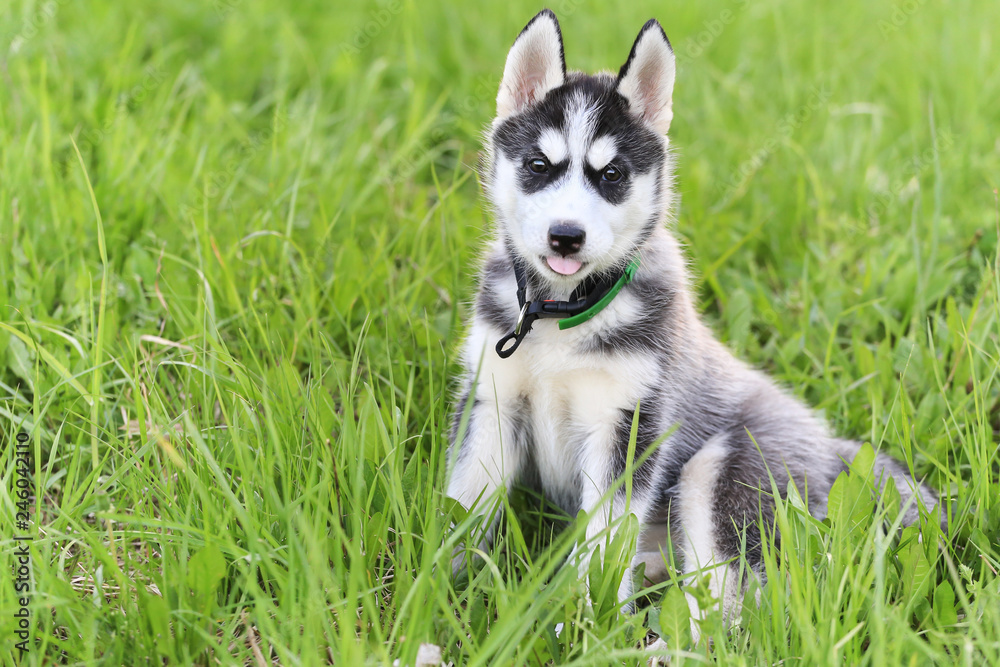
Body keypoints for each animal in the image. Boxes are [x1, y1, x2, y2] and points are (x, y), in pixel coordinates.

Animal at [446, 7, 936, 636]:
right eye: (538, 165)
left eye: (612, 175)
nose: (566, 236)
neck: (562, 318)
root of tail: (833, 446)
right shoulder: (492, 401)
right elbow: (464, 506)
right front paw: (436, 593)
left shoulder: (630, 425)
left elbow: (603, 544)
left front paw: (583, 628)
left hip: (722, 473)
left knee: (729, 614)